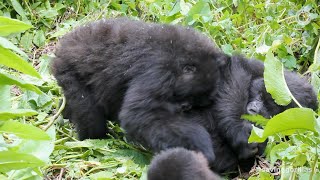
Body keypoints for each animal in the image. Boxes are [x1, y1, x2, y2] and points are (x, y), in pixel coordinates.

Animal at [50, 17, 225, 163]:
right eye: (188, 103)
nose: (184, 108)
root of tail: (64, 43)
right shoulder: (158, 70)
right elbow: (138, 117)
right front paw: (199, 145)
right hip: (66, 68)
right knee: (89, 113)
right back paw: (93, 138)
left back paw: (65, 113)